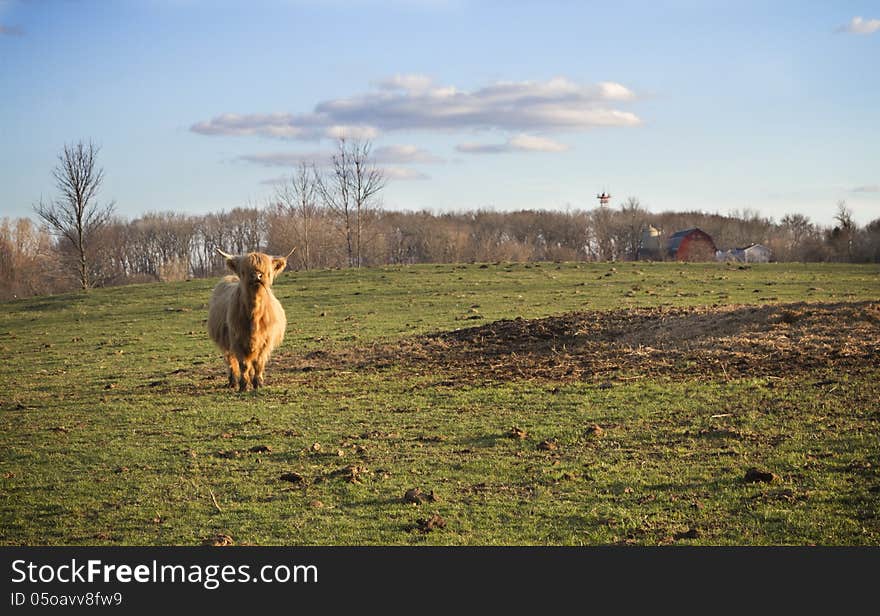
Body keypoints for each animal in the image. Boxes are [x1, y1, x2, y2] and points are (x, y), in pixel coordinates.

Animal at [207, 245, 296, 390]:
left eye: (267, 270)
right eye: (244, 270)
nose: (257, 275)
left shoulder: (266, 340)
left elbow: (258, 363)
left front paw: (258, 383)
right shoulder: (236, 339)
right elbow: (243, 364)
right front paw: (244, 385)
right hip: (226, 342)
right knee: (230, 360)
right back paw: (233, 382)